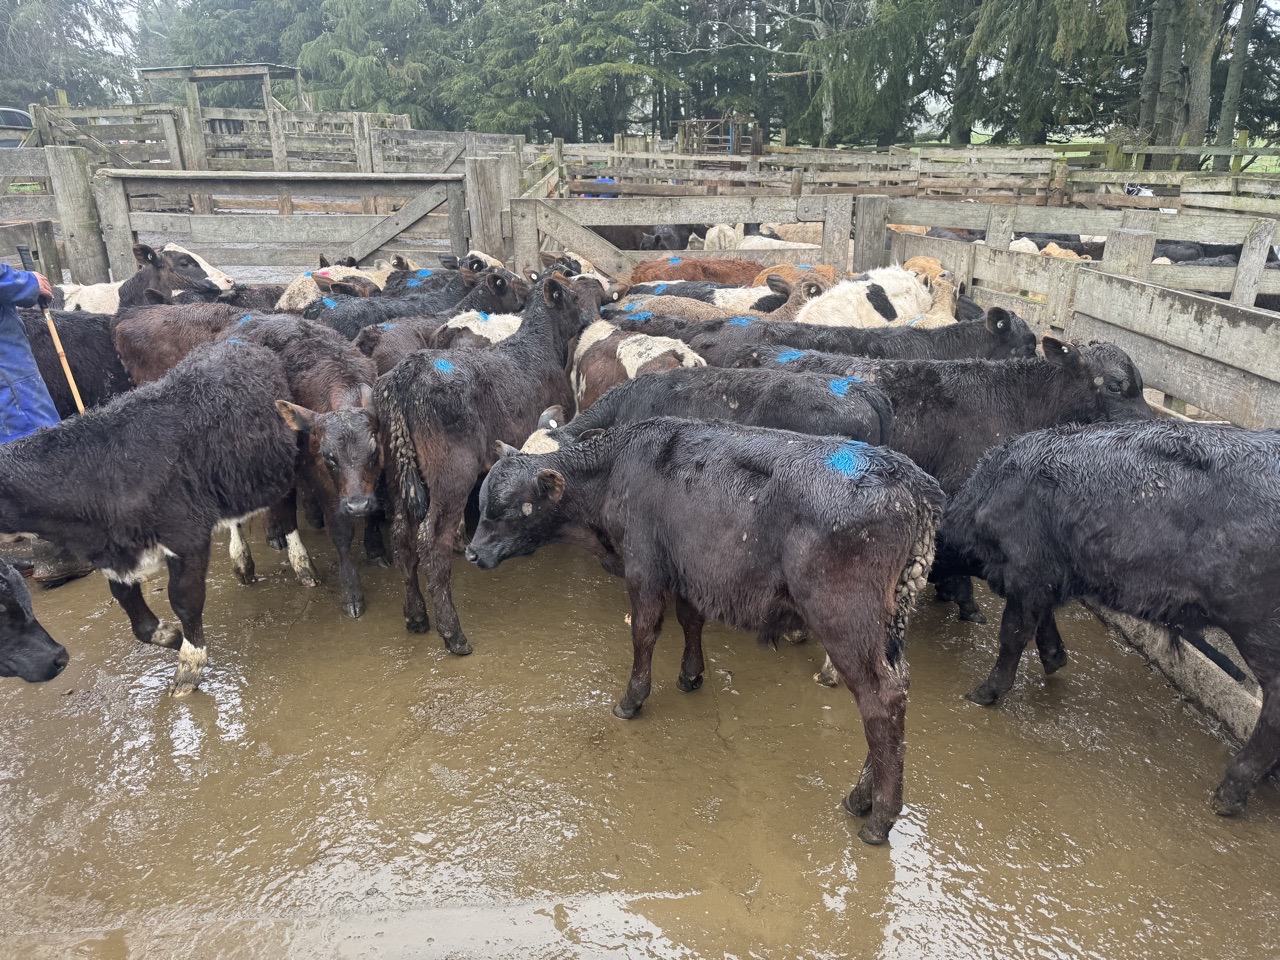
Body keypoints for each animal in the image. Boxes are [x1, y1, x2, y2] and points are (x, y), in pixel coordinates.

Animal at [0, 339, 298, 695]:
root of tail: (236, 340)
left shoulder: (186, 536)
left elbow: (184, 598)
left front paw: (189, 666)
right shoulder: (113, 553)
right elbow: (131, 610)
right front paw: (171, 636)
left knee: (287, 507)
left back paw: (301, 562)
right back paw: (242, 562)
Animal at [377, 275, 587, 653]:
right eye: (574, 297)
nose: (590, 317)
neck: (538, 344)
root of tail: (406, 375)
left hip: (397, 469)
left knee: (401, 533)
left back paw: (416, 615)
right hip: (451, 472)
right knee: (431, 540)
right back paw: (452, 633)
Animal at [464, 418, 944, 844]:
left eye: (503, 508)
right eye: (484, 501)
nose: (470, 552)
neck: (616, 468)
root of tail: (906, 478)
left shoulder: (644, 568)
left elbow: (644, 633)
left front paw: (632, 699)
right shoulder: (688, 571)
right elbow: (690, 620)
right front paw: (690, 674)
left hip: (846, 624)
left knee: (880, 701)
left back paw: (878, 816)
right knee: (893, 696)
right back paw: (862, 797)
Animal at [942, 420, 1280, 818]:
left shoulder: (1027, 571)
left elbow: (1012, 634)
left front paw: (983, 693)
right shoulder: (1049, 577)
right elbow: (1042, 622)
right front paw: (1055, 658)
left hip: (1260, 629)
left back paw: (1229, 793)